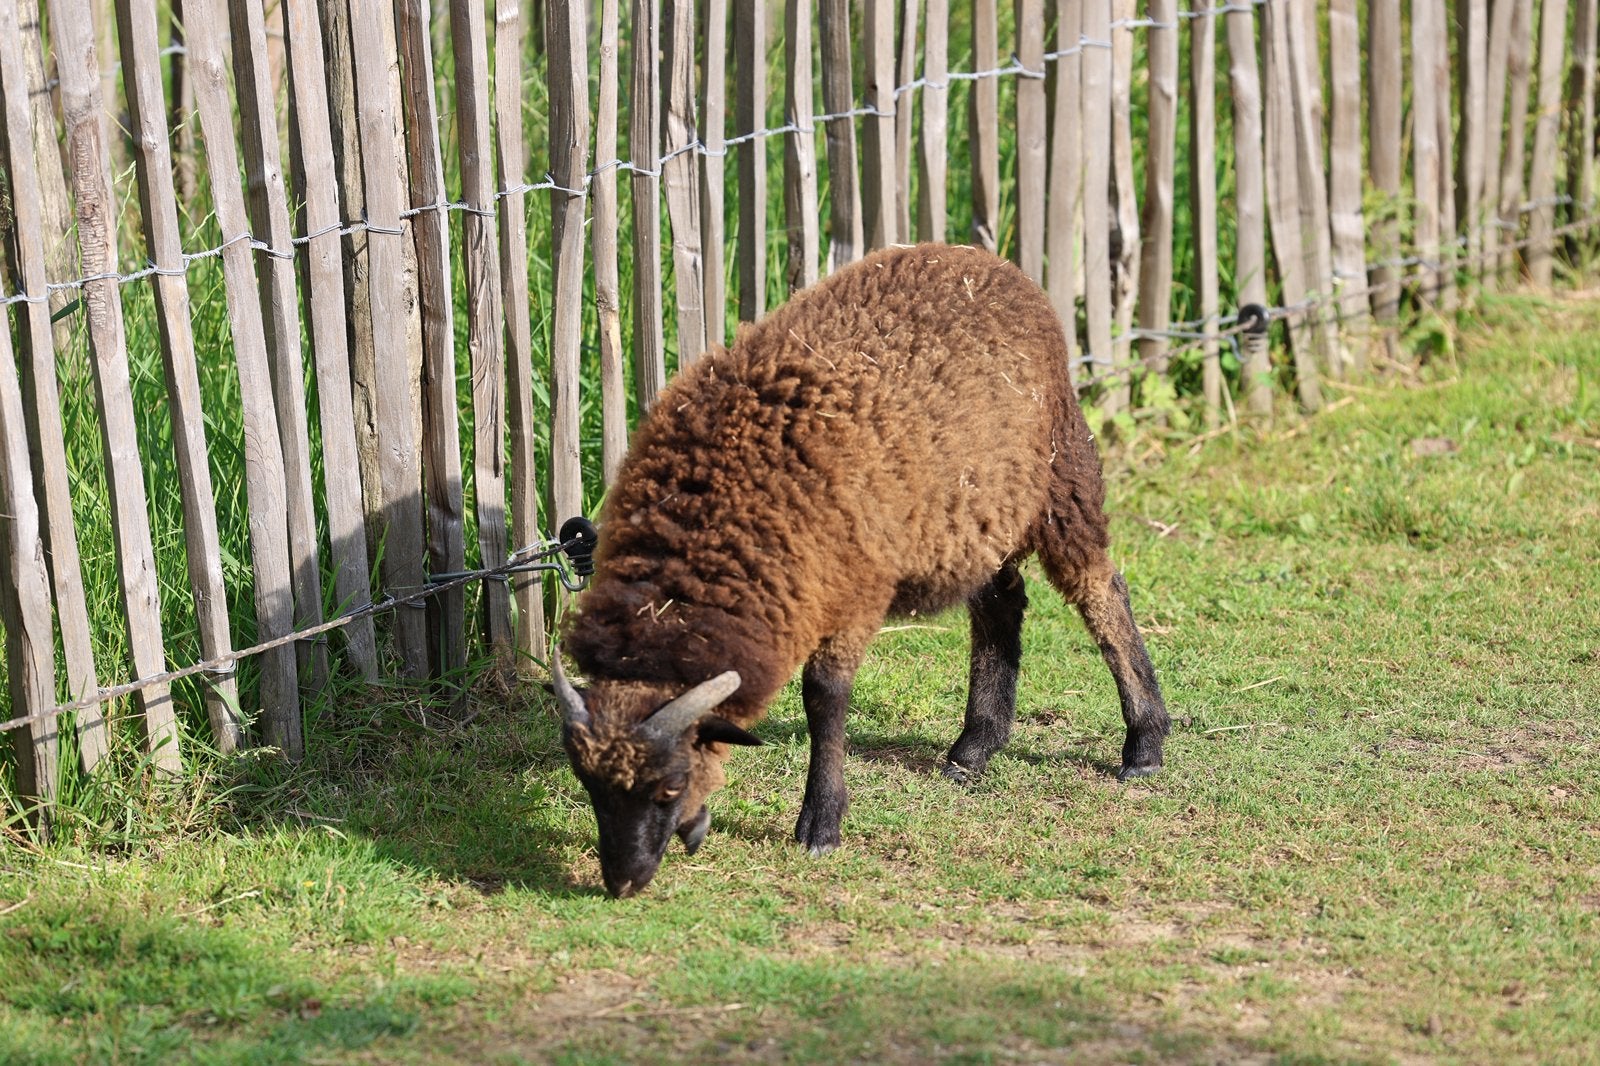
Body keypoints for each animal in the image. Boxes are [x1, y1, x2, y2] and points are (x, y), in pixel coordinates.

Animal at [553, 243, 1169, 898]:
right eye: (588, 785)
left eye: (668, 786)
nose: (622, 883)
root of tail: (988, 263)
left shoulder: (854, 587)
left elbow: (825, 697)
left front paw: (820, 823)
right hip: (969, 513)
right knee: (1002, 603)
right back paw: (974, 747)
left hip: (1062, 477)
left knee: (1101, 591)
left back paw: (1144, 743)